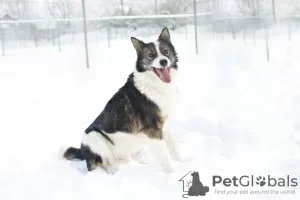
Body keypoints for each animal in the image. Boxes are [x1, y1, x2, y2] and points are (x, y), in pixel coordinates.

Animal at [60, 27, 184, 174]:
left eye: (165, 51)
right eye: (151, 55)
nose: (164, 61)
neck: (154, 85)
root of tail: (82, 151)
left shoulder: (164, 126)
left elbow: (174, 147)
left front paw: (185, 162)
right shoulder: (153, 129)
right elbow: (165, 156)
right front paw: (171, 174)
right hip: (94, 136)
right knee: (97, 165)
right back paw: (112, 170)